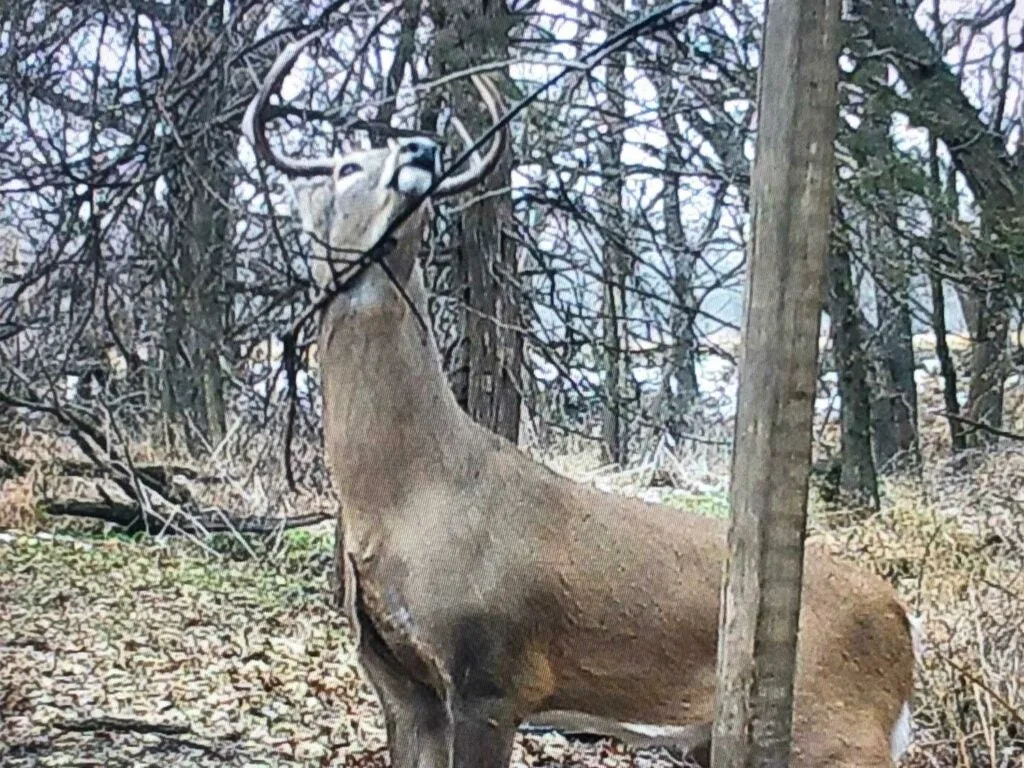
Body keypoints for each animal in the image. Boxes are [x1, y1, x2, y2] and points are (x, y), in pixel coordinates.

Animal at [243, 31, 925, 768]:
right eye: (346, 164)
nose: (422, 148)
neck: (402, 494)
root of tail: (903, 622)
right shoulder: (395, 677)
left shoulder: (491, 673)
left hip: (837, 730)